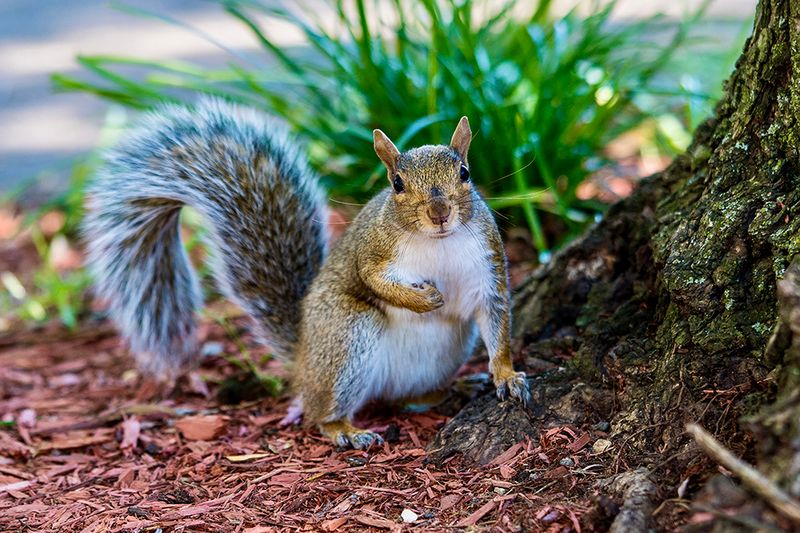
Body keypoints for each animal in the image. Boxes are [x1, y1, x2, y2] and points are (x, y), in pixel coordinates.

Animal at [84, 98, 531, 449]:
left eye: (465, 174)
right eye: (397, 183)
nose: (439, 213)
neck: (437, 242)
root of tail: (303, 359)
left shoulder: (488, 264)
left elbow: (497, 321)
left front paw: (506, 375)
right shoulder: (373, 251)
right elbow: (372, 279)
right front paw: (423, 299)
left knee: (407, 398)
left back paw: (453, 387)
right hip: (347, 332)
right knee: (320, 413)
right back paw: (345, 430)